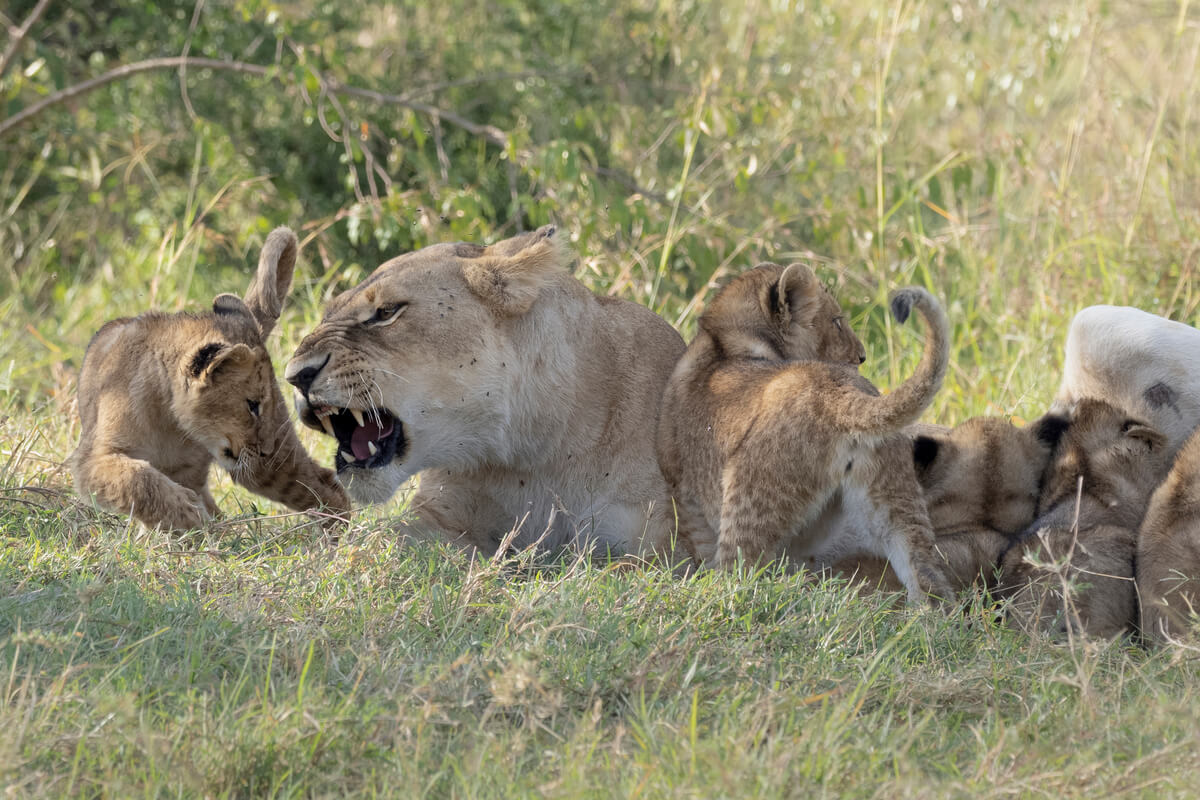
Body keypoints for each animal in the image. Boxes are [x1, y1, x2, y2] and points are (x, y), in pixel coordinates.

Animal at [71, 227, 351, 531]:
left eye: (261, 404)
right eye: (251, 405)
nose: (266, 450)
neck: (171, 424)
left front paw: (189, 518)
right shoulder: (92, 460)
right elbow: (138, 479)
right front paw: (187, 515)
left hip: (267, 466)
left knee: (326, 484)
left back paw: (338, 535)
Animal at [283, 224, 686, 559]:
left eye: (386, 312)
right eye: (326, 314)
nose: (295, 376)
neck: (534, 452)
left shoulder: (660, 547)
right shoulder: (437, 515)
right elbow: (382, 543)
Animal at [655, 261, 953, 602]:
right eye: (837, 322)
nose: (862, 356)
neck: (724, 339)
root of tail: (841, 391)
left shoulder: (683, 491)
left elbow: (701, 547)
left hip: (753, 494)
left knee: (740, 569)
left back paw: (718, 597)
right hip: (896, 497)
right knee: (928, 578)